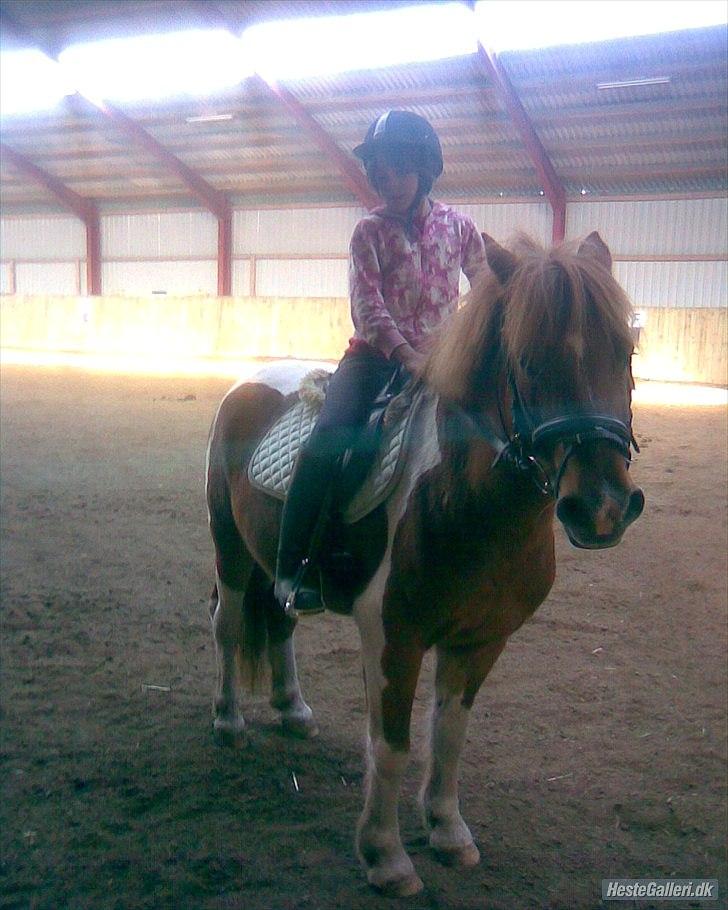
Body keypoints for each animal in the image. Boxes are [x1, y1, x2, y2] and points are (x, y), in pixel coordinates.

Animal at [205, 231, 645, 896]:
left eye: (624, 351)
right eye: (529, 360)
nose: (602, 508)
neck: (468, 504)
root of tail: (251, 381)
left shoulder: (481, 640)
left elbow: (450, 737)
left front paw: (448, 832)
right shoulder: (393, 636)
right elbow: (390, 745)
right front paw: (385, 857)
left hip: (273, 564)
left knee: (280, 620)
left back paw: (293, 710)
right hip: (229, 550)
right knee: (230, 627)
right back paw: (229, 722)